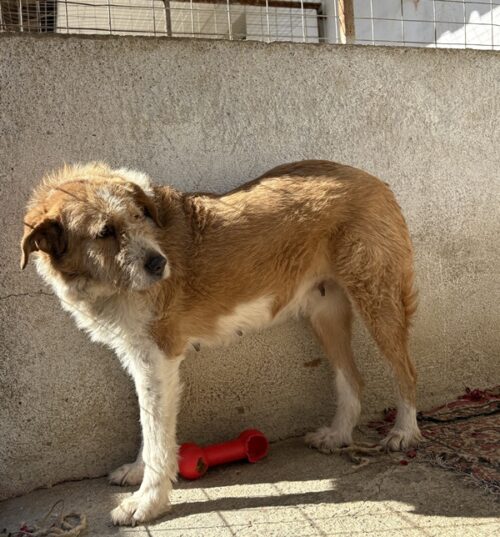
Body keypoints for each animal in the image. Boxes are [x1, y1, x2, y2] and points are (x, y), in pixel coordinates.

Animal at [21, 160, 422, 525]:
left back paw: (404, 432)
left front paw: (146, 503)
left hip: (377, 299)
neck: (104, 285)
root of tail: (372, 178)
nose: (160, 265)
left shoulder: (159, 358)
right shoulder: (141, 357)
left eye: (138, 217)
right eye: (104, 232)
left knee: (406, 370)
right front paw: (138, 473)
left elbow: (157, 436)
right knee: (352, 376)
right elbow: (148, 427)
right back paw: (338, 435)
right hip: (325, 314)